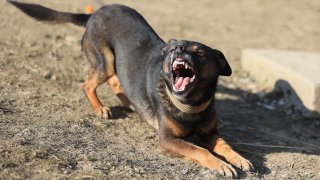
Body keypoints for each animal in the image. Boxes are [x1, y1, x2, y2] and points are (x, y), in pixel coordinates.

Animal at [8, 0, 252, 176]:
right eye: (175, 48)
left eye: (200, 53)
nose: (178, 49)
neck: (190, 104)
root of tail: (94, 14)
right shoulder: (168, 140)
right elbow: (199, 150)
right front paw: (221, 165)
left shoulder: (210, 133)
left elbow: (226, 146)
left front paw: (240, 159)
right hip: (105, 61)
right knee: (88, 84)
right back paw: (100, 108)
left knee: (117, 82)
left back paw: (130, 103)